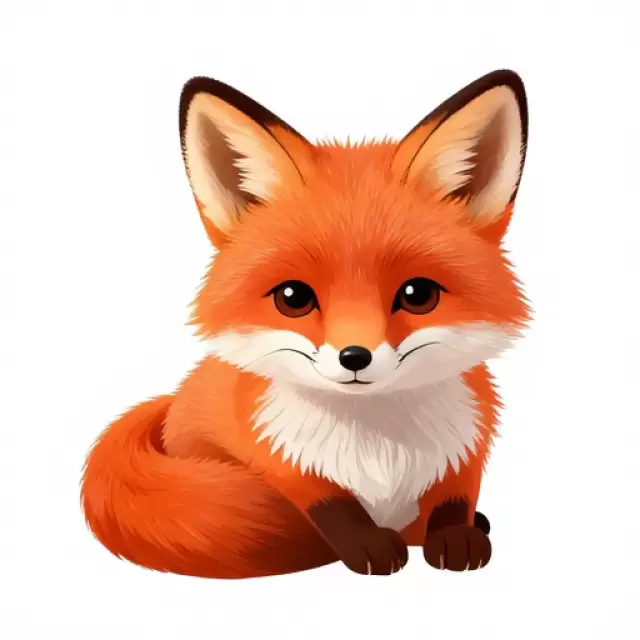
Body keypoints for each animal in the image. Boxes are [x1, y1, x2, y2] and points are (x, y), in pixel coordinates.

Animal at [81, 69, 530, 579]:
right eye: (292, 298)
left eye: (419, 295)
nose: (354, 356)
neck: (378, 446)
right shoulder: (276, 454)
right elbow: (329, 506)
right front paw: (369, 546)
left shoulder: (468, 447)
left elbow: (454, 500)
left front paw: (457, 537)